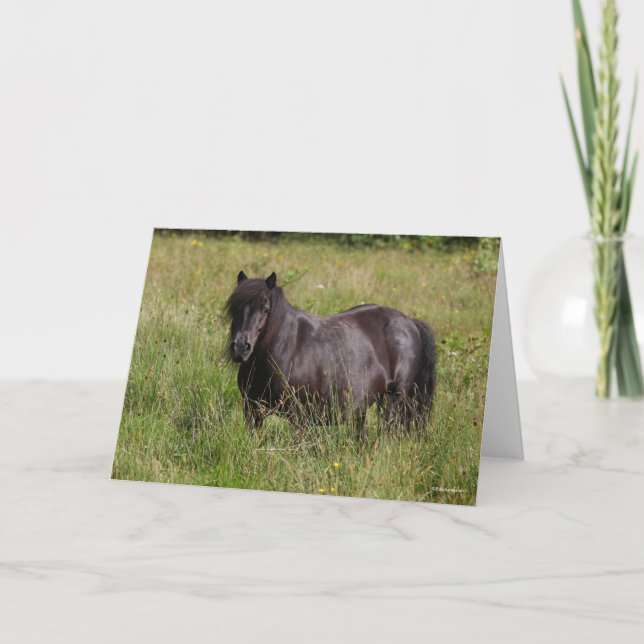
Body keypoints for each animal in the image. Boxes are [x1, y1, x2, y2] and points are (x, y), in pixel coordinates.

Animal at [225, 271, 436, 439]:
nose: (241, 347)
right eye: (234, 307)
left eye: (265, 309)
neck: (283, 350)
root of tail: (409, 322)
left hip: (393, 399)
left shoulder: (298, 416)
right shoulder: (252, 411)